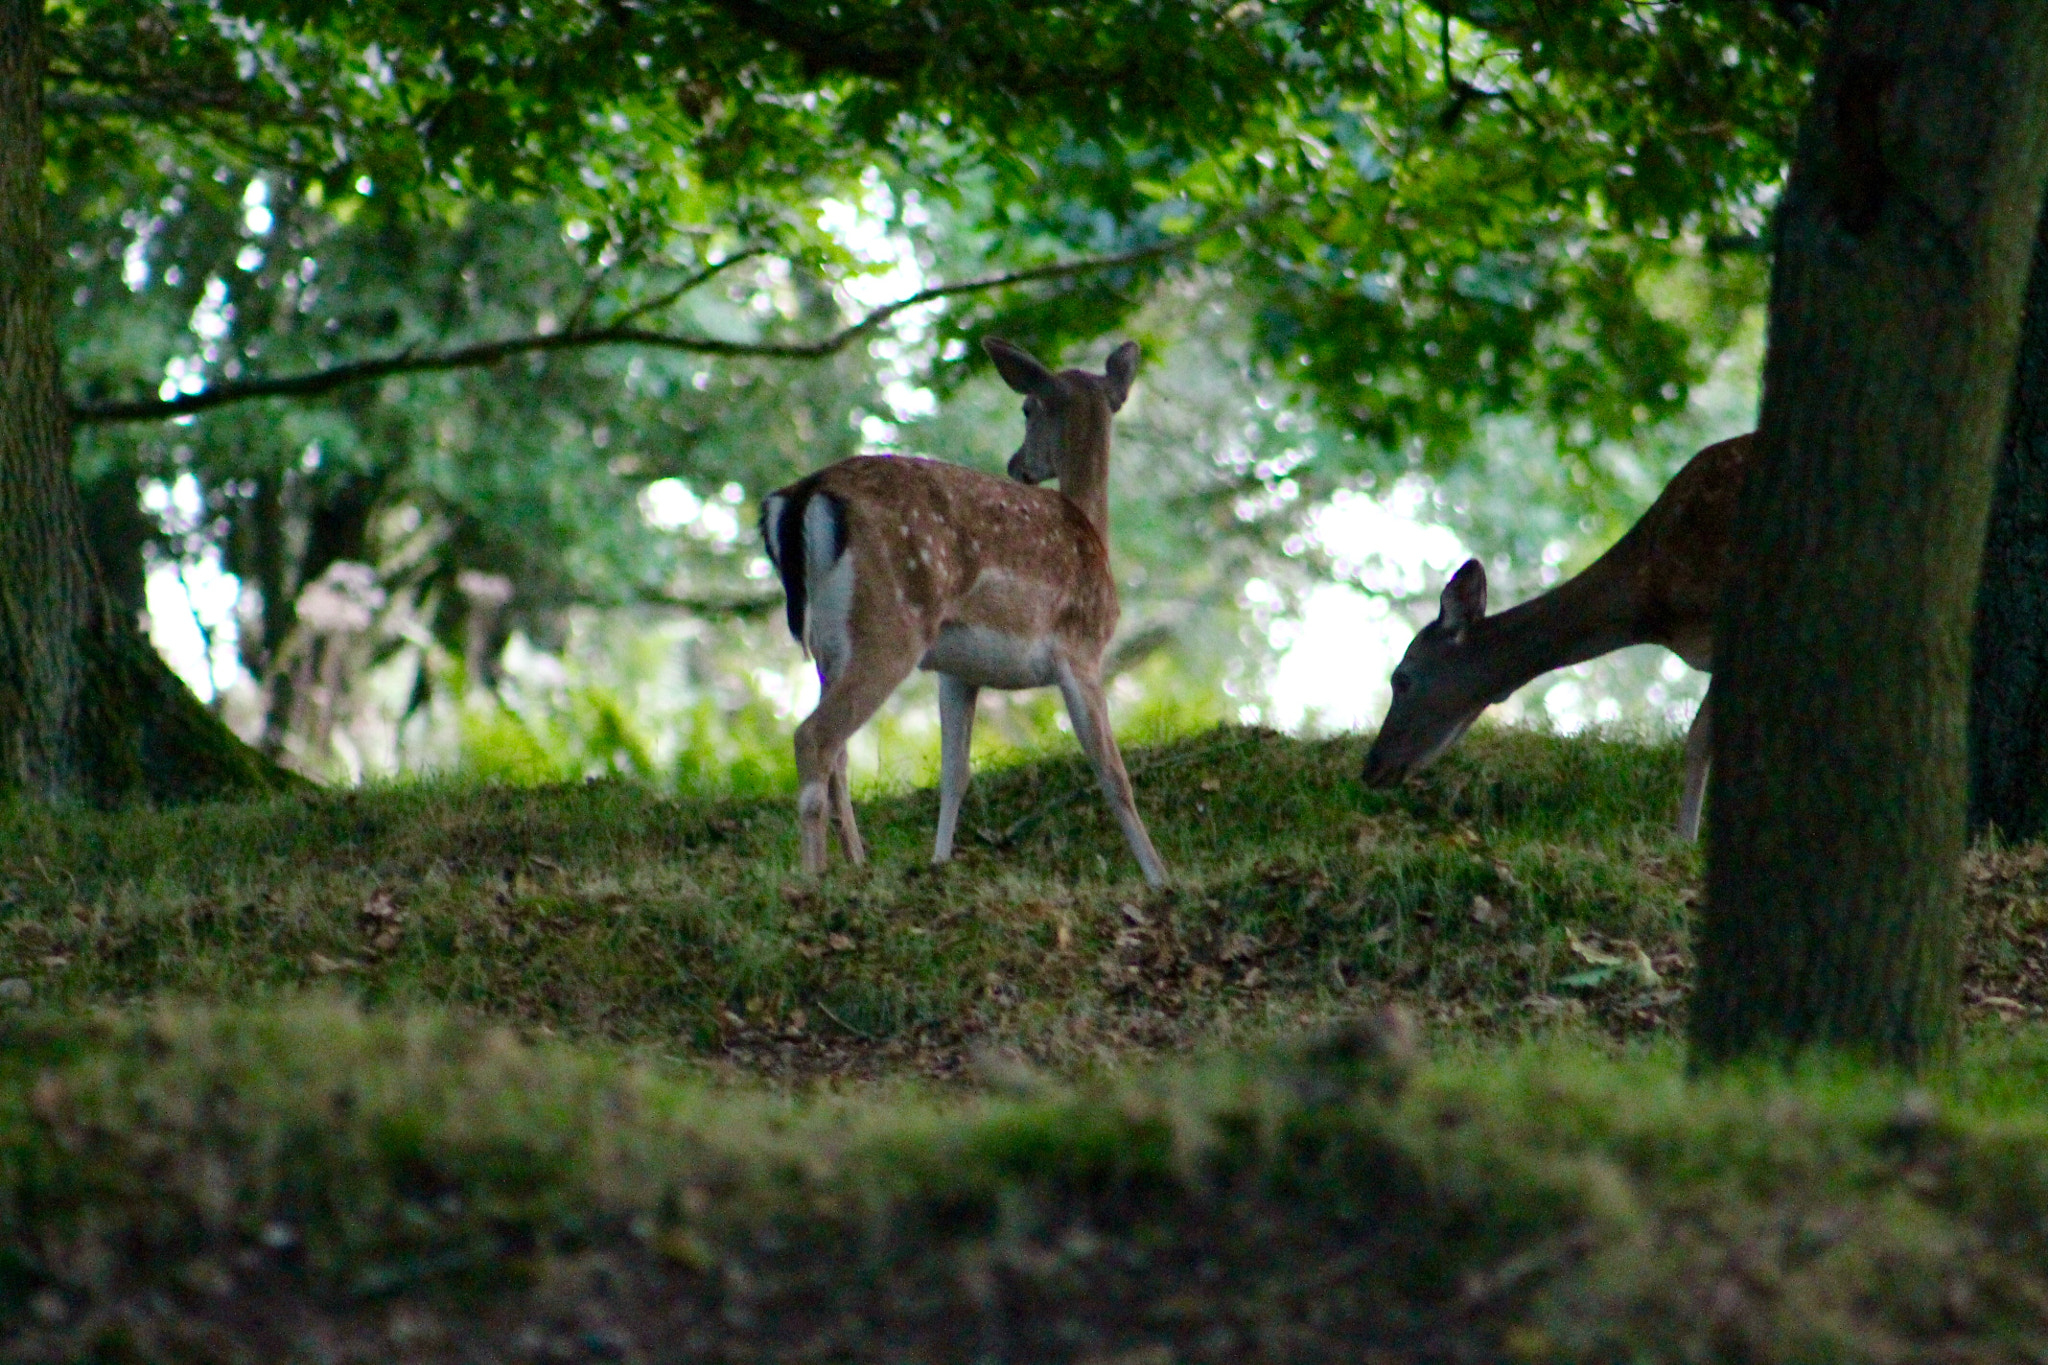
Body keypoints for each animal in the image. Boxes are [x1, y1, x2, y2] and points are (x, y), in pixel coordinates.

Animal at [758, 337, 1168, 886]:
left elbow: (955, 772)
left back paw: (856, 862)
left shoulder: (958, 669)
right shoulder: (1080, 649)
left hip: (830, 643)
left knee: (838, 752)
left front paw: (939, 862)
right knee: (814, 736)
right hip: (891, 624)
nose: (1016, 465)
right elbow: (1111, 771)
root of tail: (804, 494)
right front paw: (1160, 876)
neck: (1094, 533)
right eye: (1026, 407)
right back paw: (814, 878)